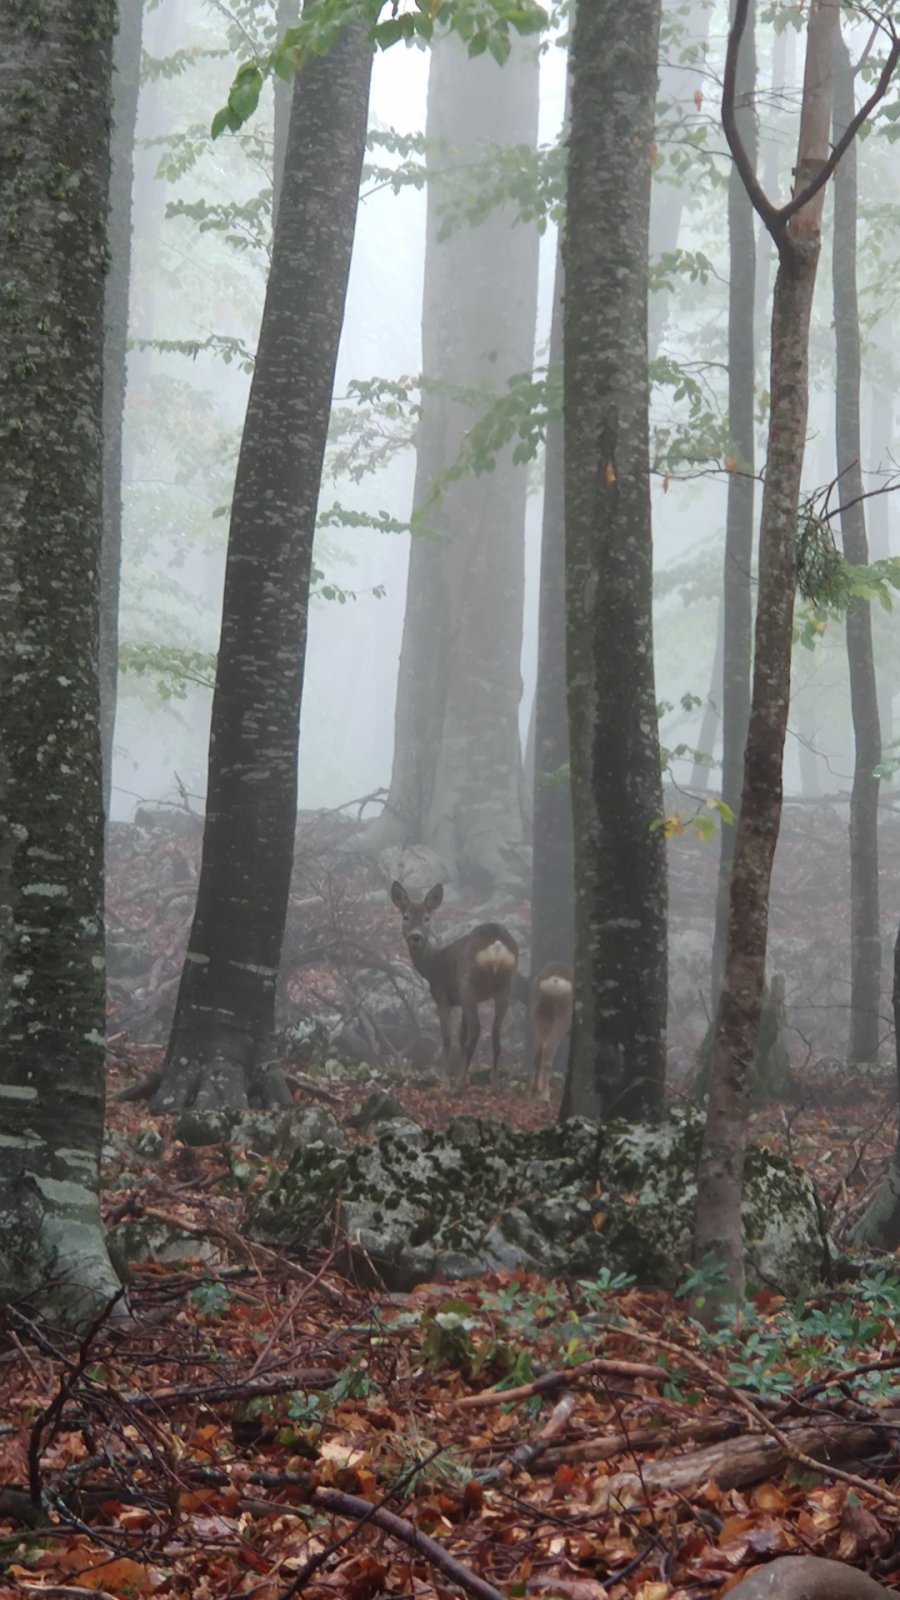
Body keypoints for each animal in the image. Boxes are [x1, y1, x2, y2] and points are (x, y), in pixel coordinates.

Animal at [387, 883, 518, 1094]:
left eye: (427, 917)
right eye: (405, 916)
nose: (416, 936)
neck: (431, 965)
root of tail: (496, 943)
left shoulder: (442, 995)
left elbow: (448, 1037)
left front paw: (445, 1082)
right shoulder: (460, 1002)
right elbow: (461, 1036)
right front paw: (464, 1078)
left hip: (469, 984)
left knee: (477, 1030)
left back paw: (457, 1084)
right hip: (505, 985)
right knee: (495, 1035)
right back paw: (494, 1083)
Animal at [528, 960, 570, 1100]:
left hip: (537, 1010)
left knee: (538, 1049)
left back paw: (534, 1090)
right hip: (564, 1014)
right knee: (548, 1049)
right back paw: (545, 1095)